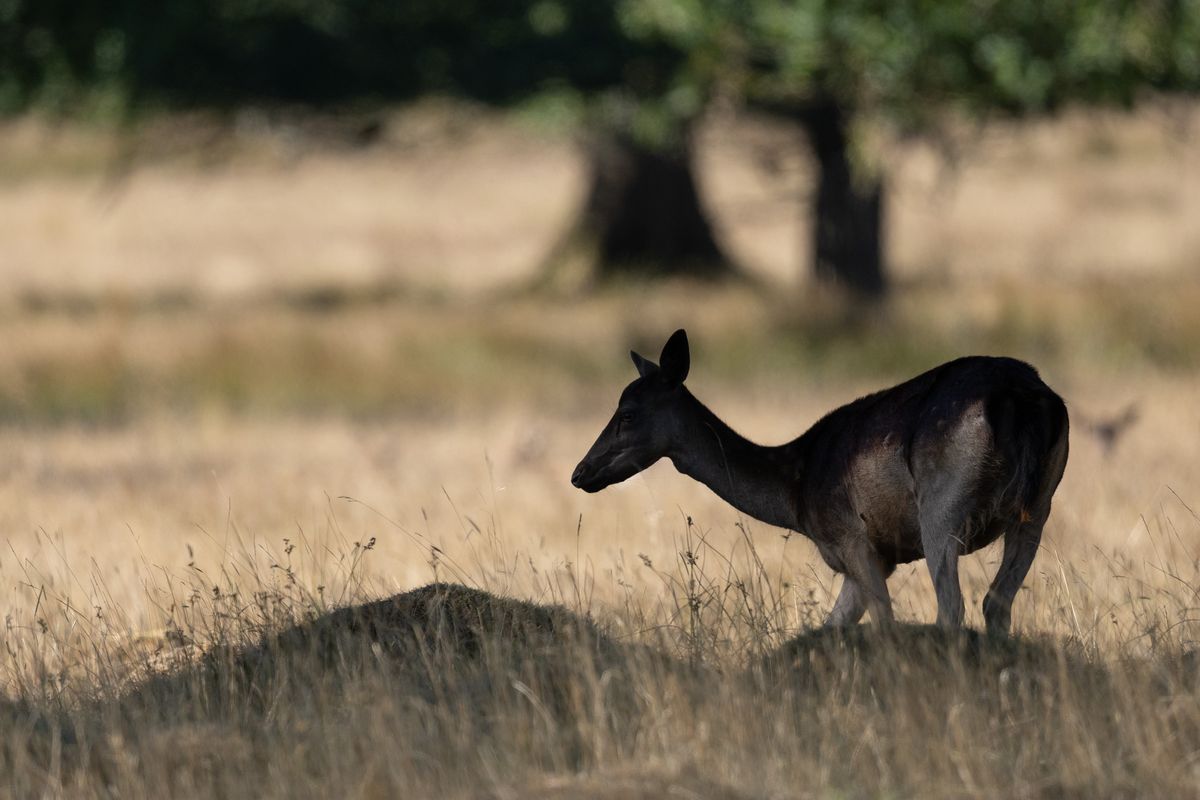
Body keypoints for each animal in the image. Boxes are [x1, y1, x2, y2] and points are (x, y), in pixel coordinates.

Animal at [571, 329, 1069, 634]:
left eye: (627, 413)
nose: (580, 473)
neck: (797, 494)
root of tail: (1022, 399)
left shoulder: (850, 537)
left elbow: (885, 621)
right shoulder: (874, 559)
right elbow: (833, 624)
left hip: (941, 508)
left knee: (953, 608)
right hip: (1038, 507)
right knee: (996, 602)